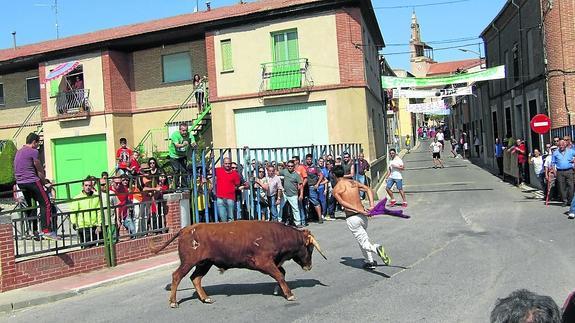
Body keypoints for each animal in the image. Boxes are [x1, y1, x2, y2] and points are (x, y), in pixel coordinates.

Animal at [148, 220, 326, 308]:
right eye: (310, 248)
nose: (309, 266)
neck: (277, 235)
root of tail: (185, 229)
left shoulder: (272, 263)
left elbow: (281, 273)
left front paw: (278, 290)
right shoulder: (264, 262)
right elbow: (279, 275)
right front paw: (289, 294)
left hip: (204, 263)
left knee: (196, 278)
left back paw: (206, 298)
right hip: (189, 261)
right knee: (177, 276)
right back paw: (173, 302)